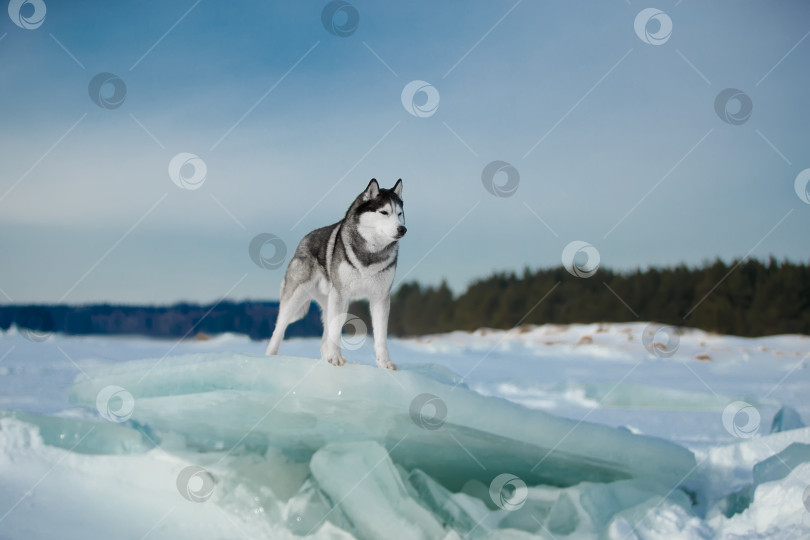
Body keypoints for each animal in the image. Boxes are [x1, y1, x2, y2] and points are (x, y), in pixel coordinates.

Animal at [266, 179, 404, 370]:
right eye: (384, 212)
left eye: (399, 213)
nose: (402, 229)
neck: (370, 252)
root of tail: (303, 240)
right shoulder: (340, 293)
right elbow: (335, 331)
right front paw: (335, 358)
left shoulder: (380, 297)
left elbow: (381, 336)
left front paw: (384, 363)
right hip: (297, 299)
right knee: (278, 330)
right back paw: (270, 358)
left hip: (337, 303)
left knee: (325, 337)